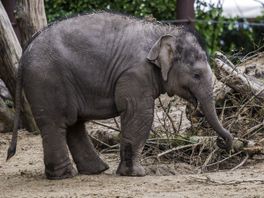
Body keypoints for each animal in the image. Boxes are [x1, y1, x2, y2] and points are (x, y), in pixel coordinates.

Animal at [7, 12, 232, 179]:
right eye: (196, 75)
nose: (224, 144)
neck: (163, 32)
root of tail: (25, 52)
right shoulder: (135, 74)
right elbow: (139, 112)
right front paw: (137, 174)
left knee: (73, 123)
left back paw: (96, 170)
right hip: (47, 81)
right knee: (57, 123)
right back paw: (66, 176)